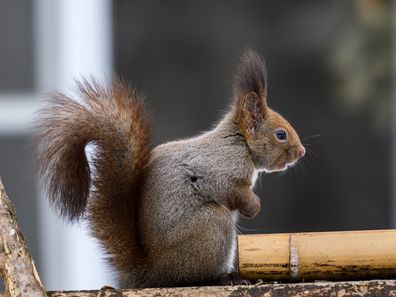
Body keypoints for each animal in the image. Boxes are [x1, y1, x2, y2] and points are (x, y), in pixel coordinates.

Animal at [34, 49, 306, 288]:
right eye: (281, 135)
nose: (301, 152)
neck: (239, 143)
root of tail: (154, 272)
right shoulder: (220, 169)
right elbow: (231, 190)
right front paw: (254, 207)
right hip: (211, 226)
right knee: (195, 276)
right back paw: (226, 278)